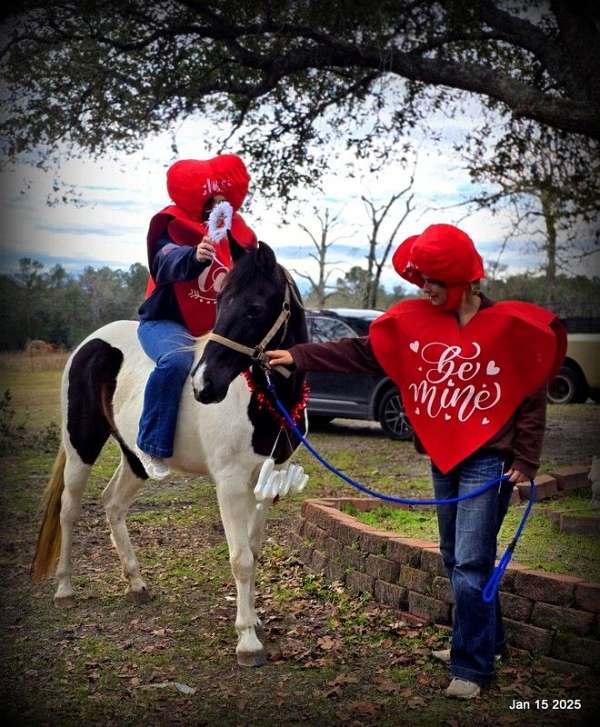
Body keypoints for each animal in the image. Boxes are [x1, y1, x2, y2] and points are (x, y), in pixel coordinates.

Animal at [30, 237, 308, 664]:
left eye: (255, 307)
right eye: (221, 301)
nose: (204, 385)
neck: (261, 399)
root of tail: (89, 344)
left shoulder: (267, 480)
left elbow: (254, 549)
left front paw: (255, 620)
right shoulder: (230, 482)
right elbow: (241, 558)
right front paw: (247, 639)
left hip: (135, 458)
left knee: (112, 504)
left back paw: (136, 583)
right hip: (81, 445)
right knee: (69, 509)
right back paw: (64, 589)